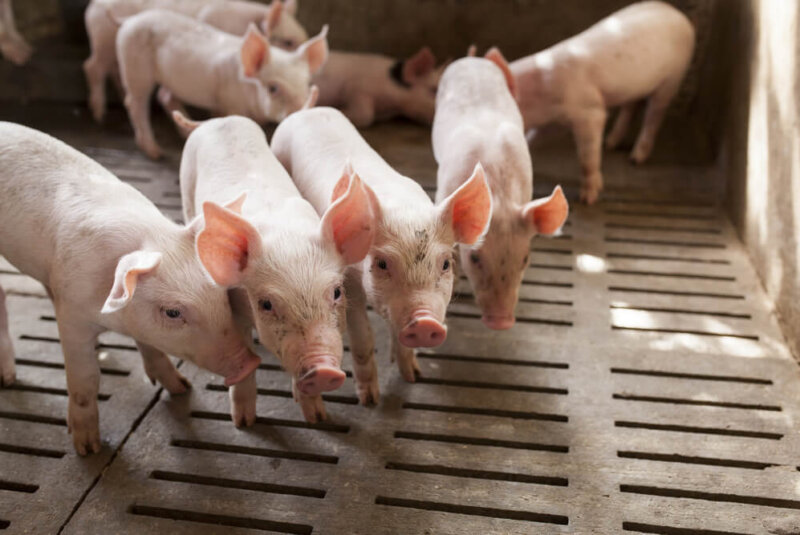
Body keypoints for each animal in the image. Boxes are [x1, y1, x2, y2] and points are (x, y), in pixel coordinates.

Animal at [0, 122, 261, 454]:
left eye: (221, 296)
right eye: (172, 312)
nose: (250, 361)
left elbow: (150, 346)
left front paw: (181, 389)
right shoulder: (72, 315)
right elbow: (85, 378)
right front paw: (88, 448)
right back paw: (8, 380)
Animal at [116, 9, 327, 159]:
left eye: (306, 84)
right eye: (273, 88)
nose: (302, 108)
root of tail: (130, 20)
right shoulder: (228, 100)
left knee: (164, 96)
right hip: (134, 68)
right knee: (134, 103)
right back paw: (155, 153)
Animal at [176, 110, 376, 424]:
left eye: (336, 292)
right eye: (266, 304)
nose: (323, 370)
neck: (286, 236)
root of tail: (217, 120)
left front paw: (317, 418)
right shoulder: (234, 306)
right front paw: (243, 423)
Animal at [272, 107, 492, 404]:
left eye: (446, 264)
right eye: (382, 263)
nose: (425, 322)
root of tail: (307, 110)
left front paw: (413, 376)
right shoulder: (348, 284)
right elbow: (363, 338)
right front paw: (370, 400)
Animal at [510, 1, 695, 204]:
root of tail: (677, 14)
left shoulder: (589, 111)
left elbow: (587, 157)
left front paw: (587, 199)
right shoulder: (555, 121)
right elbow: (533, 138)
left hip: (673, 79)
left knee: (654, 115)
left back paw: (635, 159)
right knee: (631, 106)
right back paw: (610, 144)